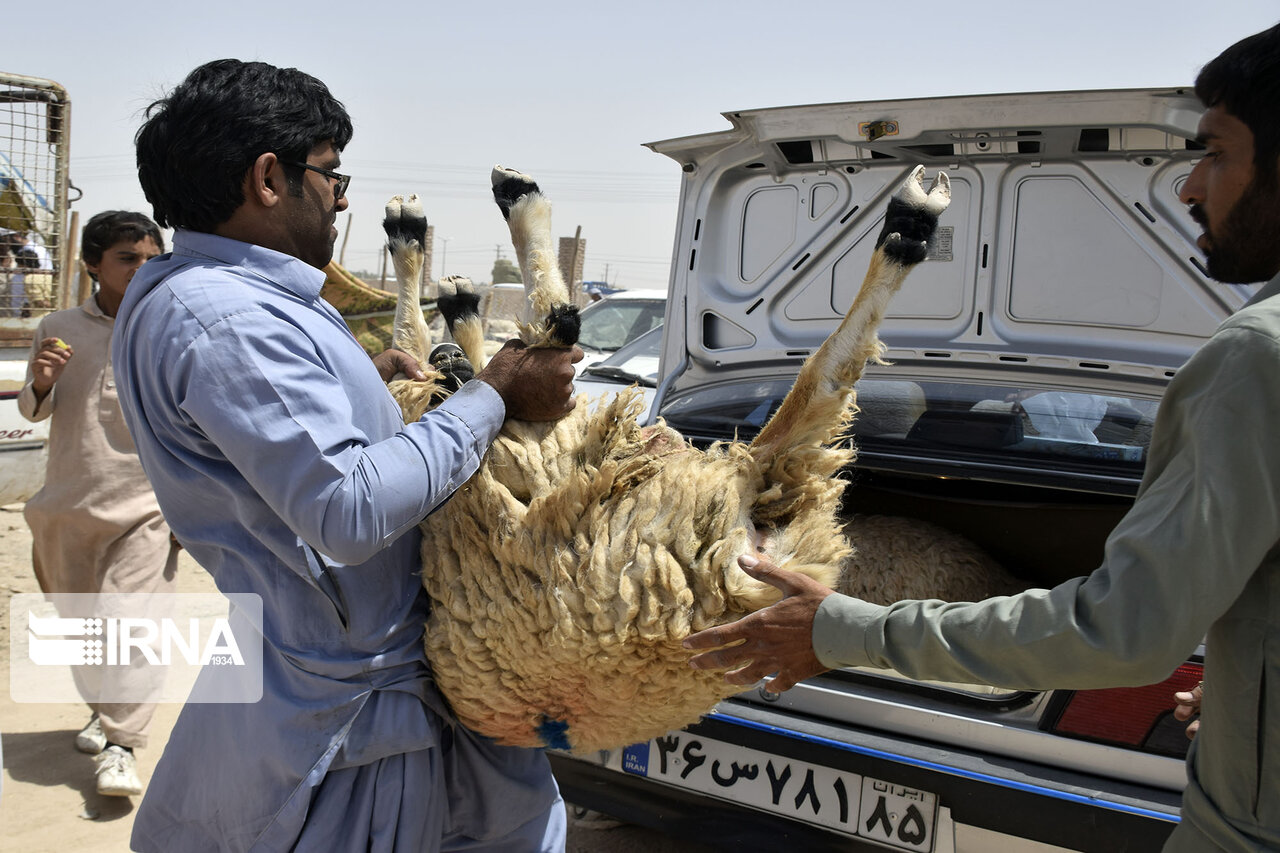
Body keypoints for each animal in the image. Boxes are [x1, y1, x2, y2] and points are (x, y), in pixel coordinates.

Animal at [378, 161, 998, 753]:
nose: (449, 361)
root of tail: (738, 579)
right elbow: (421, 344)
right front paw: (448, 305)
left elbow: (422, 343)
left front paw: (453, 306)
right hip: (593, 488)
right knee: (813, 385)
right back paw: (910, 225)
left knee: (553, 330)